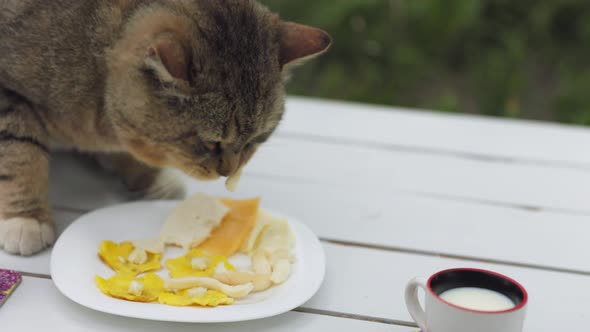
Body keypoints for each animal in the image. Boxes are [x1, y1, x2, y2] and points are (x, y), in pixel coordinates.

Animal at [0, 0, 332, 255]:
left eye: (257, 140)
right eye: (211, 143)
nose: (228, 172)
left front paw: (148, 177)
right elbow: (21, 153)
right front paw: (26, 217)